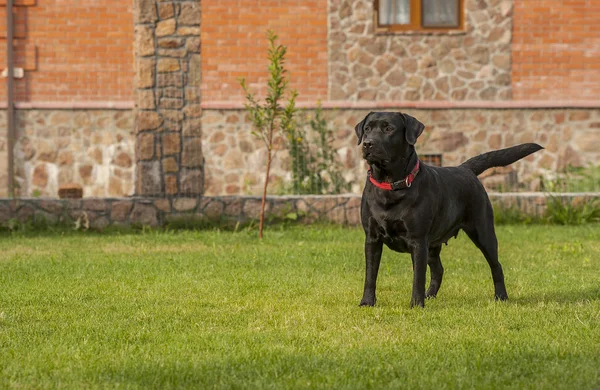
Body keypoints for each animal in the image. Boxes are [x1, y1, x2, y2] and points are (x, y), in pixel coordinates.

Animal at [356, 112, 544, 308]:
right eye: (367, 128)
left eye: (389, 128)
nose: (368, 143)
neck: (390, 185)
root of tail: (465, 169)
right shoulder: (372, 239)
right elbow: (370, 275)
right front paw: (367, 302)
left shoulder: (418, 240)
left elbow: (418, 277)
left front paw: (416, 304)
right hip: (433, 244)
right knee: (438, 270)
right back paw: (429, 295)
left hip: (483, 233)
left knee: (496, 266)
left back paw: (501, 296)